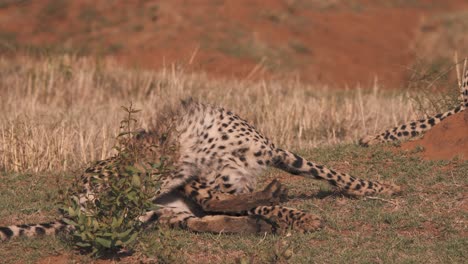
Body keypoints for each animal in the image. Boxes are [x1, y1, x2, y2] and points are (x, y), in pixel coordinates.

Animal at [1, 99, 400, 241]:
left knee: (202, 219)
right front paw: (297, 217)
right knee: (210, 210)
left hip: (161, 214)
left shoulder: (278, 153)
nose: (123, 190)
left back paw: (252, 225)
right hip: (162, 207)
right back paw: (259, 220)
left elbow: (331, 173)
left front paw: (379, 188)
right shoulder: (218, 182)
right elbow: (253, 200)